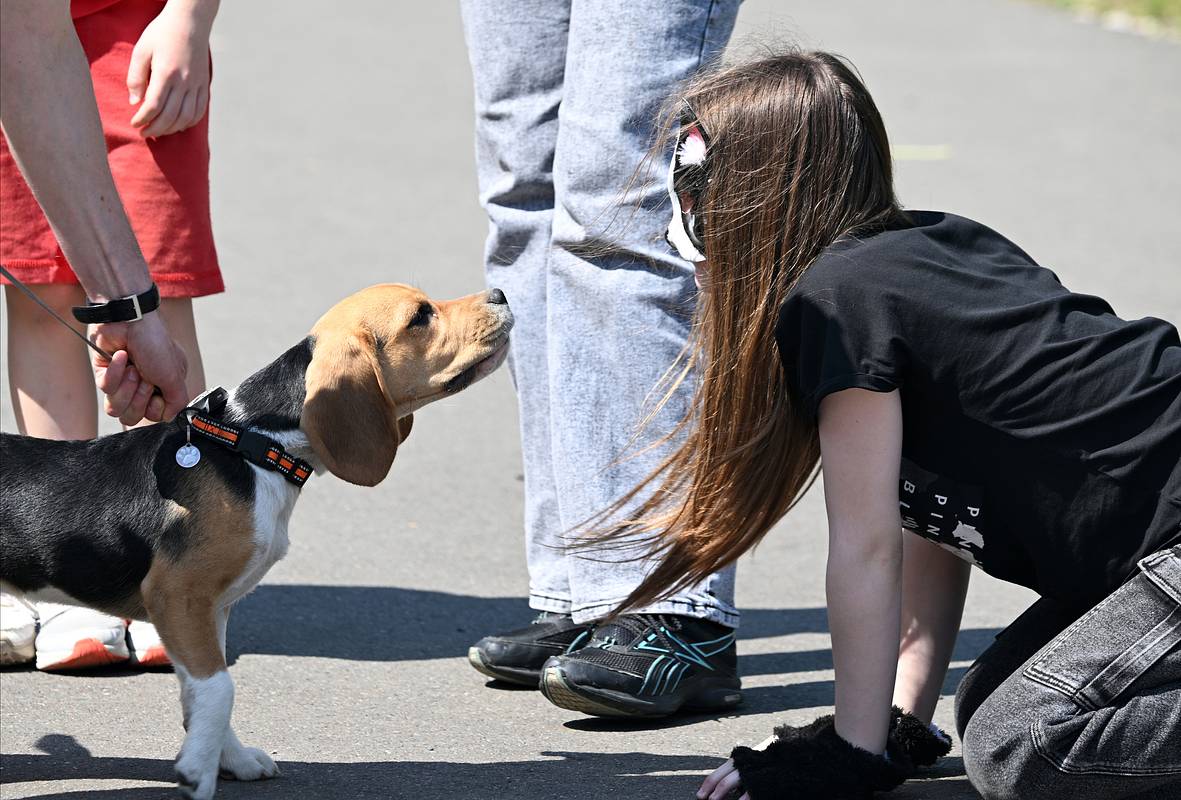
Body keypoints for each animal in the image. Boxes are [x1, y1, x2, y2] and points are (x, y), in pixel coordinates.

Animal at [2, 283, 514, 794]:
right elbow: (219, 688)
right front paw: (198, 772)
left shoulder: (209, 609)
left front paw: (229, 757)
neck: (258, 445)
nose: (500, 294)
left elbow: (203, 692)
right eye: (420, 317)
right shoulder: (177, 595)